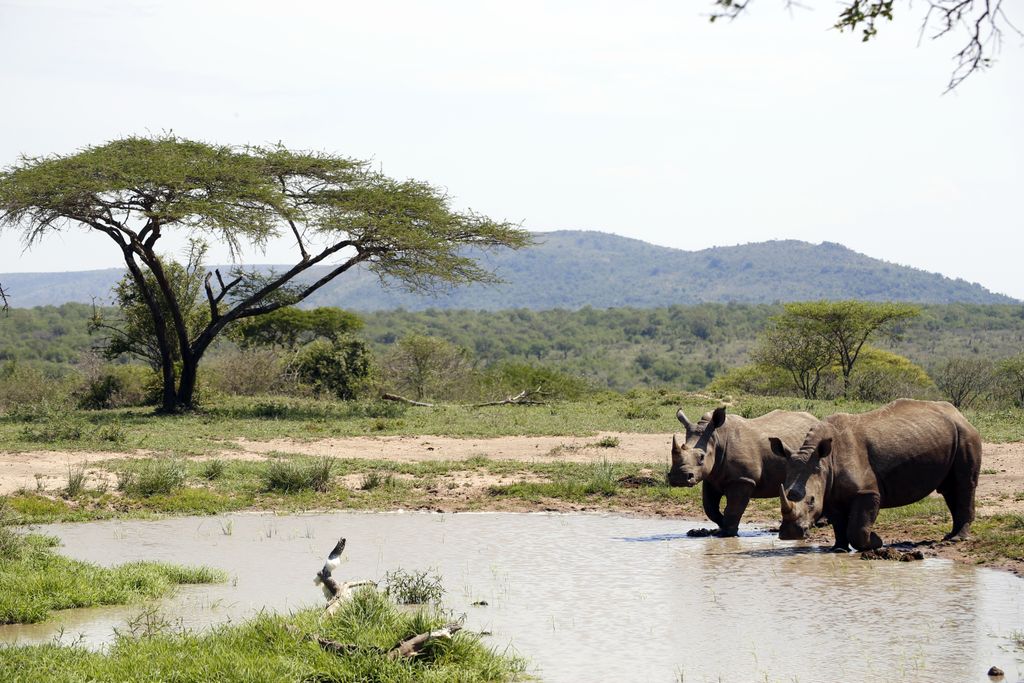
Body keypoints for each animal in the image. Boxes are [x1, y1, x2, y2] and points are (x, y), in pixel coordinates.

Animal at [668, 406, 819, 536]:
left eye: (701, 457)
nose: (678, 478)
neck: (717, 438)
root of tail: (816, 419)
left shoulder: (743, 479)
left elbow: (733, 508)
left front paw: (727, 533)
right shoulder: (711, 478)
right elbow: (710, 508)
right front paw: (719, 527)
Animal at [770, 399, 982, 551]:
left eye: (812, 501)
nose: (790, 534)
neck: (823, 461)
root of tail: (959, 414)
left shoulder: (867, 492)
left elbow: (858, 528)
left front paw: (876, 542)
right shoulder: (829, 491)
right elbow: (839, 523)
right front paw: (839, 549)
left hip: (966, 434)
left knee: (964, 484)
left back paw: (957, 539)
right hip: (952, 435)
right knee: (949, 489)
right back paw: (950, 536)